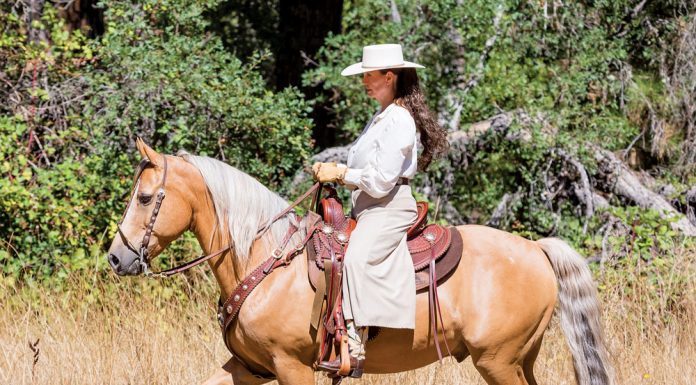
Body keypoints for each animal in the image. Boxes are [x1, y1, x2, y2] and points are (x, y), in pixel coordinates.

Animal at [106, 139, 612, 384]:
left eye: (145, 197)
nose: (116, 257)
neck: (265, 261)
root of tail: (537, 249)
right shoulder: (252, 368)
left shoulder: (292, 367)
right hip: (520, 360)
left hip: (498, 362)